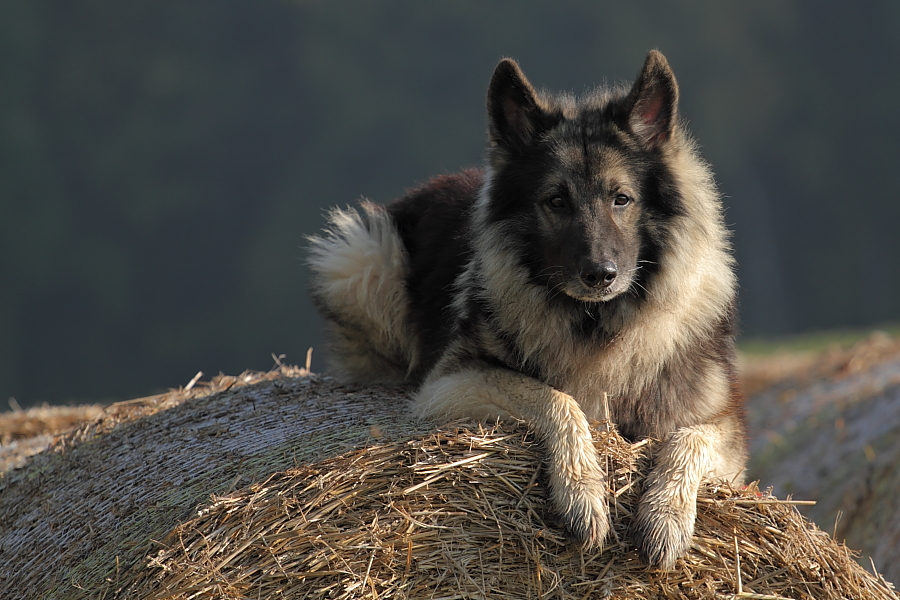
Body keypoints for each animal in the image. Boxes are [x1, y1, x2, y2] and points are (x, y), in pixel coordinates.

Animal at [310, 50, 744, 568]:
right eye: (556, 201)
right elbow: (556, 398)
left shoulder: (726, 431)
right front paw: (583, 494)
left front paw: (666, 517)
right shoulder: (450, 382)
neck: (595, 323)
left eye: (621, 199)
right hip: (363, 258)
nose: (600, 275)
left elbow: (688, 440)